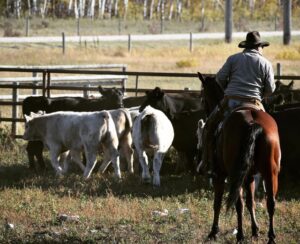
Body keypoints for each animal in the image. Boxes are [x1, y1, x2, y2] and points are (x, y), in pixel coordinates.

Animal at [198, 73, 280, 244]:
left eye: (202, 98)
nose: (206, 113)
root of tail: (253, 122)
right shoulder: (249, 176)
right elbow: (251, 202)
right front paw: (255, 230)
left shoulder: (220, 175)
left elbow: (217, 202)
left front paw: (213, 232)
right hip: (270, 172)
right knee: (270, 202)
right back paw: (270, 237)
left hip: (234, 174)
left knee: (238, 203)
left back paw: (240, 235)